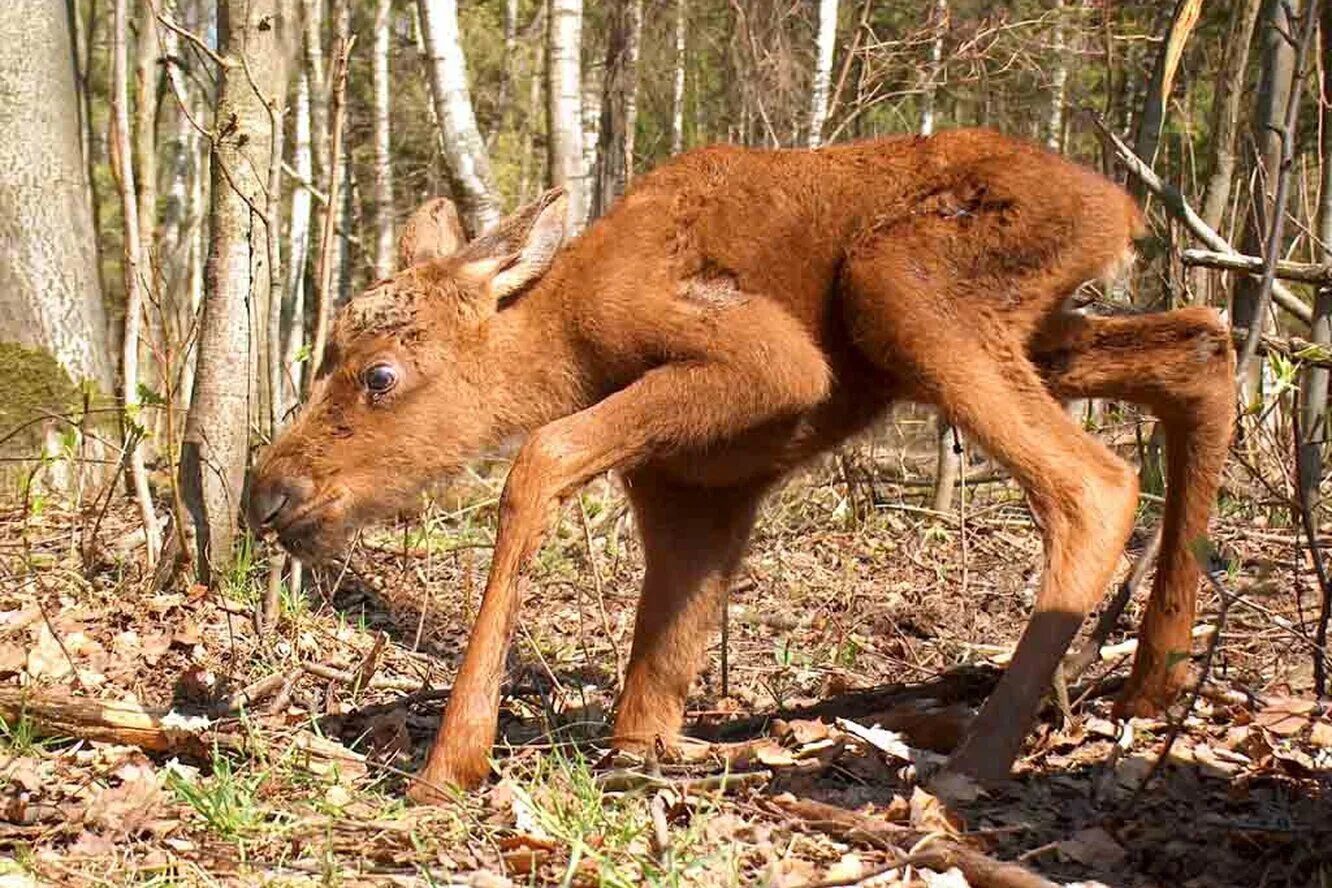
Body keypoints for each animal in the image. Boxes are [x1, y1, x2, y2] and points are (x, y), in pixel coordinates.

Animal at [251, 128, 1236, 804]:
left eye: (381, 376)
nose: (267, 492)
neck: (569, 344)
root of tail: (1124, 207)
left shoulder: (769, 360)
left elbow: (539, 453)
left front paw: (451, 763)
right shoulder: (696, 491)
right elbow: (645, 712)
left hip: (899, 285)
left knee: (1097, 483)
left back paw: (978, 756)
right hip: (1028, 330)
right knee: (1200, 345)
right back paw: (1150, 681)